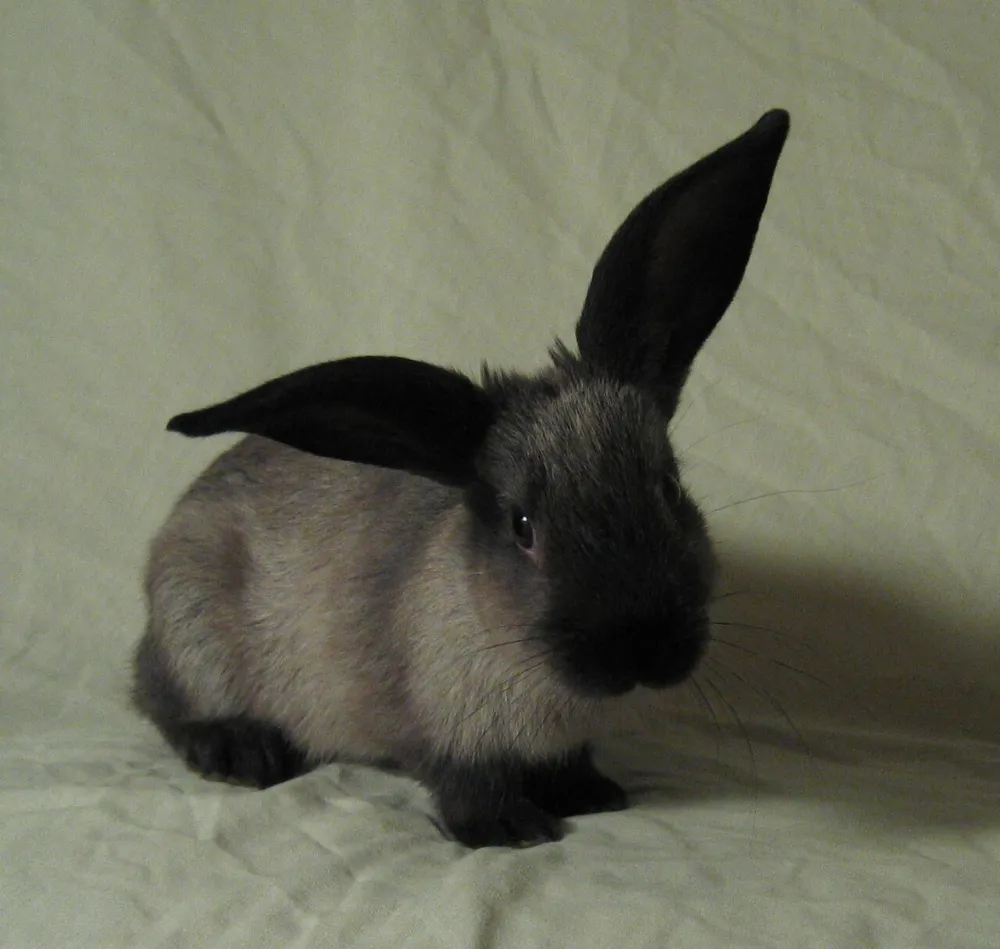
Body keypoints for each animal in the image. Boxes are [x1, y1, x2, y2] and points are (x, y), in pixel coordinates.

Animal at [132, 109, 790, 848]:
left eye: (670, 488)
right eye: (523, 526)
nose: (642, 647)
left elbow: (569, 766)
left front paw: (592, 795)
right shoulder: (447, 737)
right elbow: (466, 784)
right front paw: (513, 830)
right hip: (193, 629)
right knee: (160, 701)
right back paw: (242, 750)